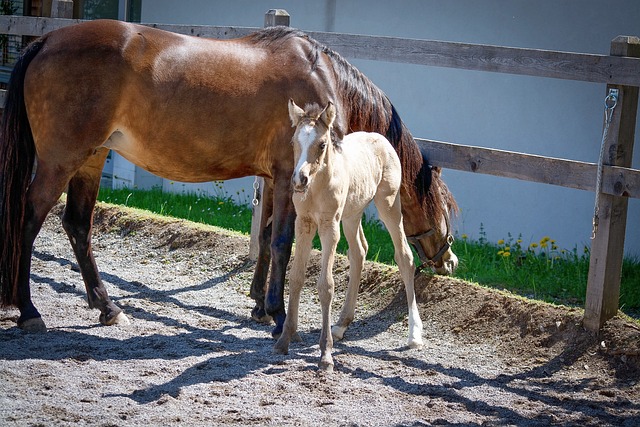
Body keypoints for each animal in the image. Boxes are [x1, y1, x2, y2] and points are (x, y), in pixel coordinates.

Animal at [0, 19, 456, 334]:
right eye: (445, 206)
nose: (449, 260)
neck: (322, 79)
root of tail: (45, 41)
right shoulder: (290, 176)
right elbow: (283, 241)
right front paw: (277, 313)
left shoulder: (275, 178)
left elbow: (269, 237)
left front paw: (258, 304)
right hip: (61, 161)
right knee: (28, 218)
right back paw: (28, 311)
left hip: (91, 160)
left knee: (78, 226)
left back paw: (107, 307)